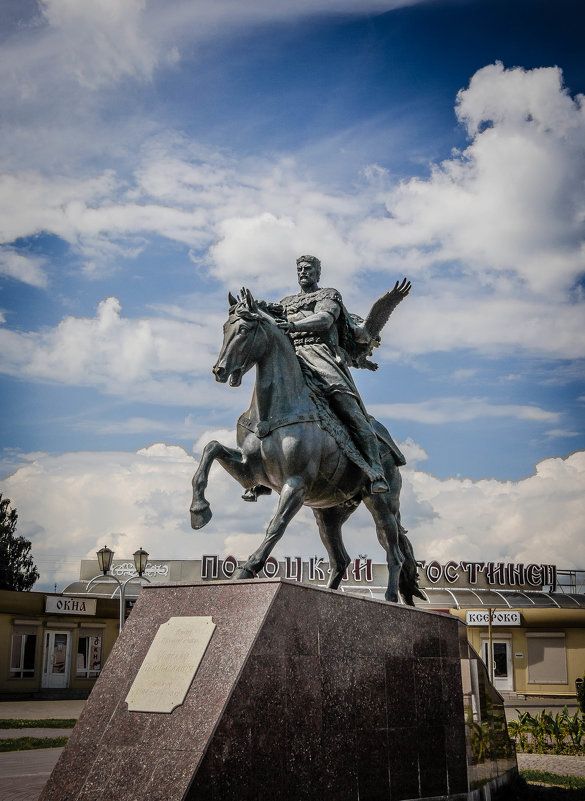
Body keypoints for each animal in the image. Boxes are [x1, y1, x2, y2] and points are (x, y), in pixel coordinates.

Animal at [189, 290, 422, 604]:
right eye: (225, 328)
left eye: (245, 329)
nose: (219, 370)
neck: (274, 410)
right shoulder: (250, 471)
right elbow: (211, 448)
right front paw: (199, 511)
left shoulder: (296, 485)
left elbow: (276, 526)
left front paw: (246, 570)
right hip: (328, 513)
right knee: (341, 559)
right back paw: (330, 594)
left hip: (382, 505)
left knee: (394, 552)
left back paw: (389, 598)